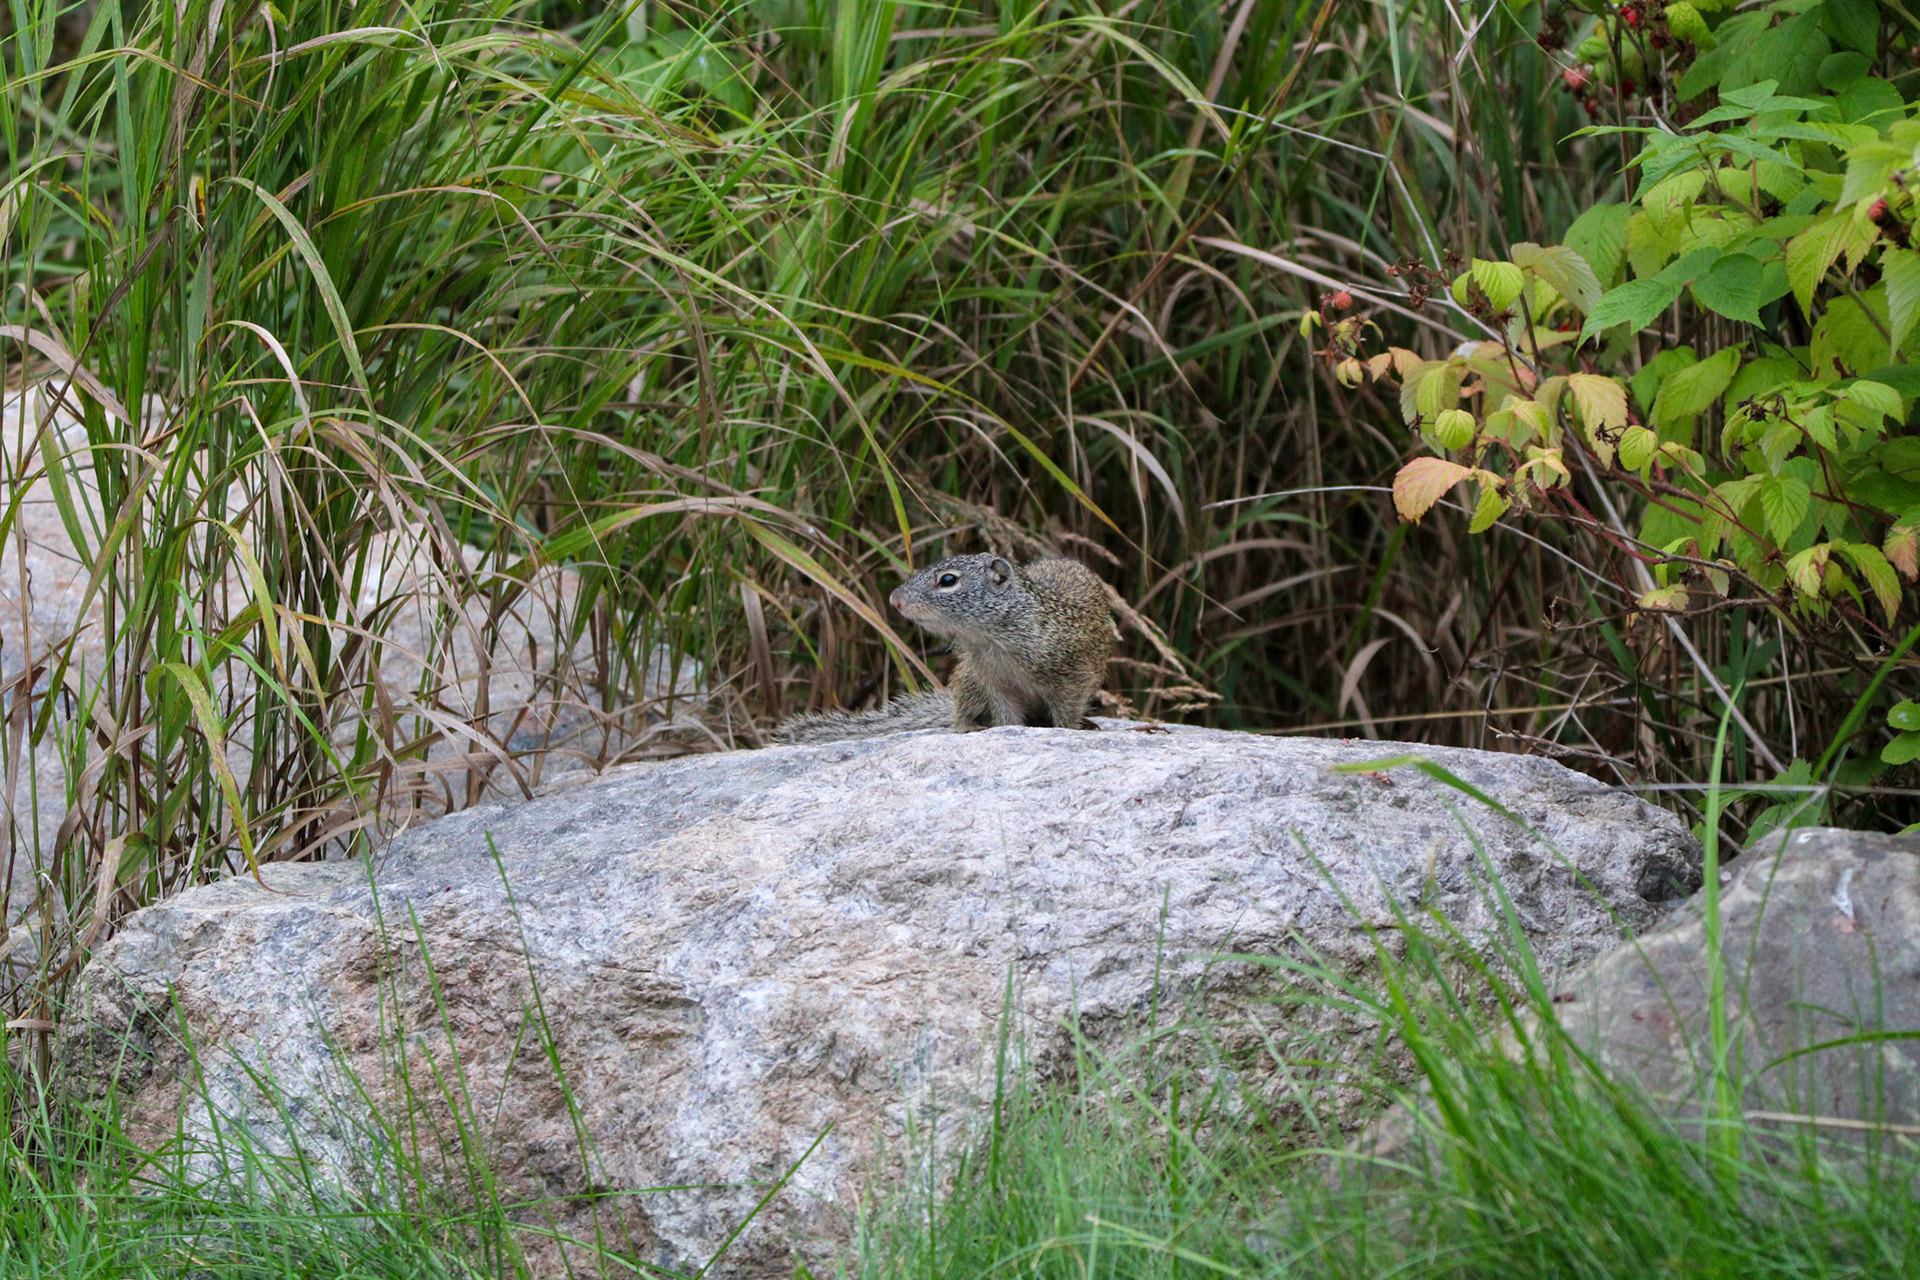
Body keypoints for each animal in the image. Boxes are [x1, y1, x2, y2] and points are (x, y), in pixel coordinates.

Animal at [775, 553, 1114, 744]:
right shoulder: (995, 684)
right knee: (960, 712)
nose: (895, 599)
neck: (993, 643)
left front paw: (1074, 728)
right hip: (969, 679)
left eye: (948, 580)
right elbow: (1007, 720)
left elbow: (1066, 717)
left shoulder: (1071, 680)